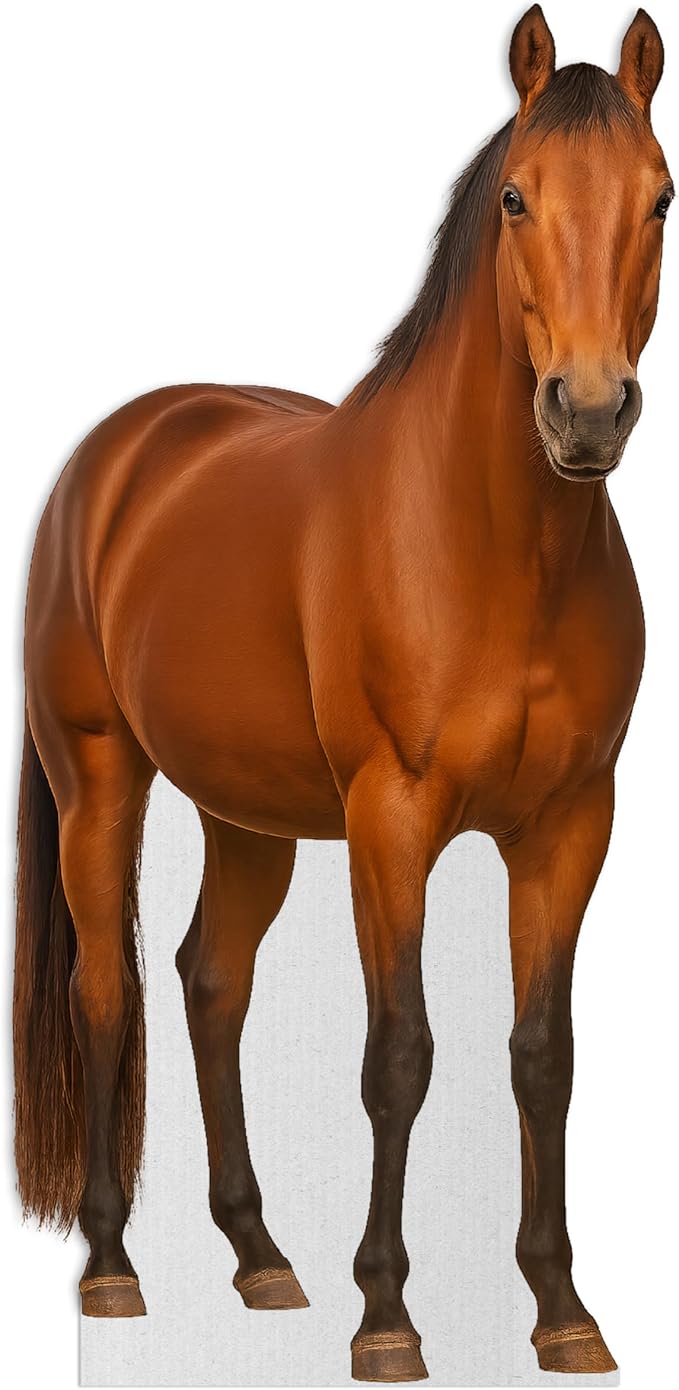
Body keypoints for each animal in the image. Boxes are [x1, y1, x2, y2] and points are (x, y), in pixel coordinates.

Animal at [13, 5, 671, 1381]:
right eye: (517, 196)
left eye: (661, 197)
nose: (586, 413)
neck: (494, 544)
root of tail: (116, 455)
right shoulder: (393, 819)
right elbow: (399, 1055)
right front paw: (387, 1317)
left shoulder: (571, 825)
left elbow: (543, 1056)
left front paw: (562, 1310)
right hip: (99, 778)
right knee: (107, 991)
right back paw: (110, 1269)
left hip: (247, 817)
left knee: (210, 981)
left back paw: (260, 1255)